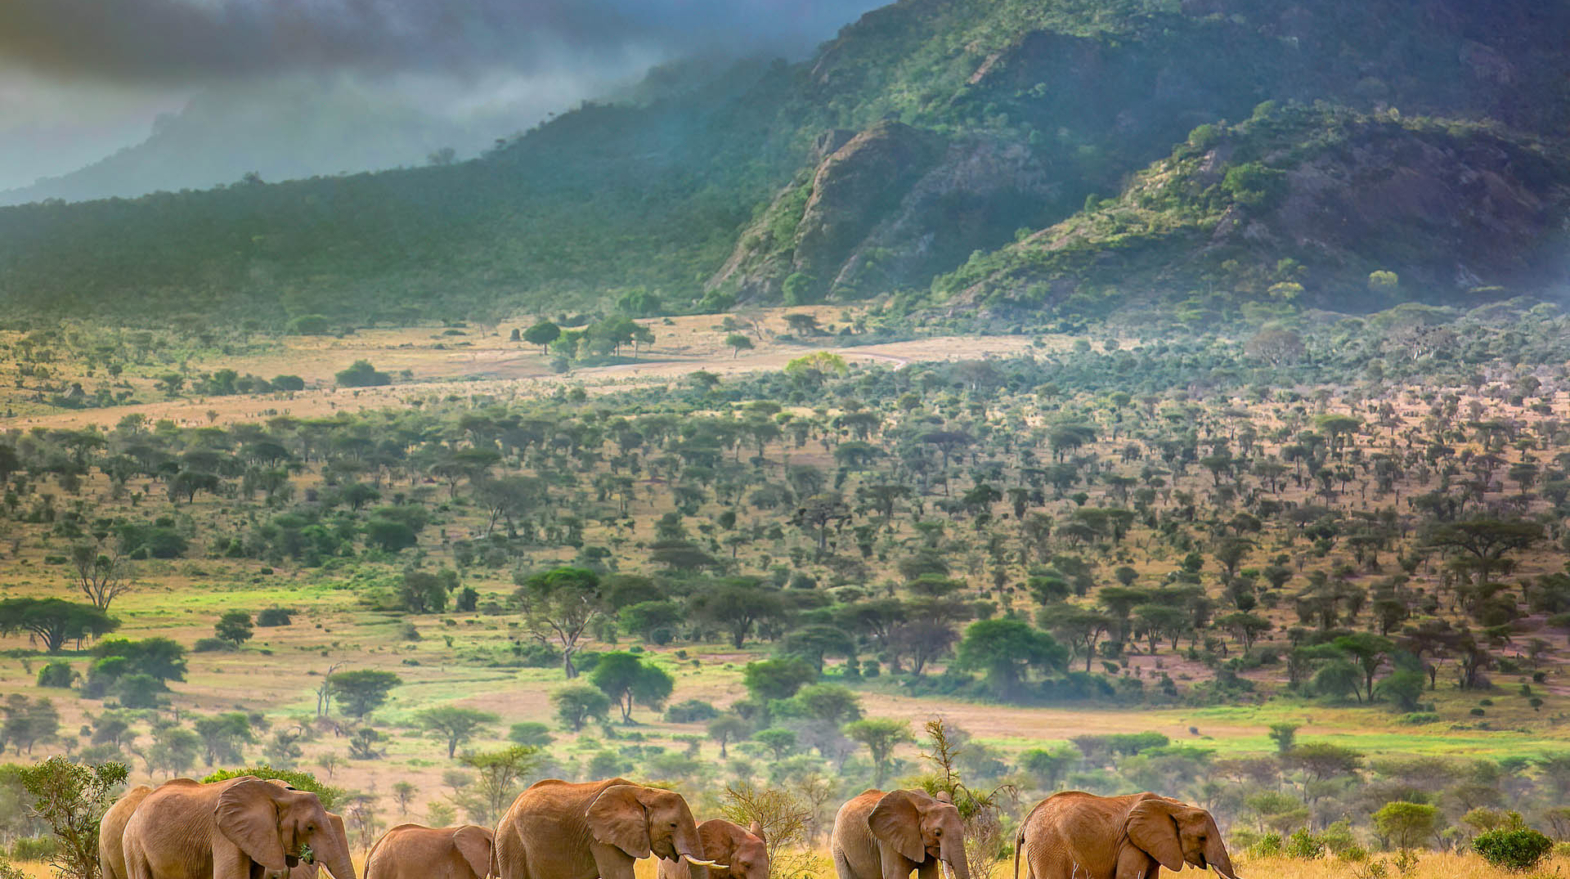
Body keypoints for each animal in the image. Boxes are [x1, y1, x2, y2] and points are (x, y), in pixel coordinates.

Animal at [494, 778, 719, 879]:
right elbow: (619, 875)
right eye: (673, 825)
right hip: (511, 843)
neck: (642, 791)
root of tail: (503, 817)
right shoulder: (601, 839)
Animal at [831, 789, 970, 879]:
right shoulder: (887, 841)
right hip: (838, 847)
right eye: (937, 833)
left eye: (964, 830)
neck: (928, 803)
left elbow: (929, 875)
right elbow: (895, 875)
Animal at [1013, 792, 1240, 879]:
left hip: (1038, 850)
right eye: (1202, 838)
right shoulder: (1131, 843)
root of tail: (1026, 821)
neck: (1175, 806)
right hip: (1049, 847)